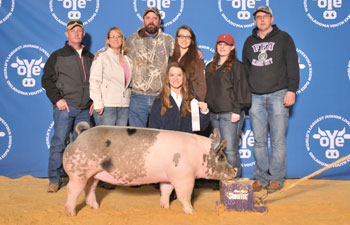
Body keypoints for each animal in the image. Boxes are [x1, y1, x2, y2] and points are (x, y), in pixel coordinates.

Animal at [63, 122, 238, 215]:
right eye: (221, 157)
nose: (235, 171)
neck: (197, 154)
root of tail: (79, 137)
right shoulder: (184, 177)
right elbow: (184, 196)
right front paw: (193, 213)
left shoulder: (168, 176)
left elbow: (165, 190)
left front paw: (165, 207)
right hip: (78, 171)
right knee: (73, 190)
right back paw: (71, 213)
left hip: (94, 174)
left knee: (90, 188)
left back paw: (95, 207)